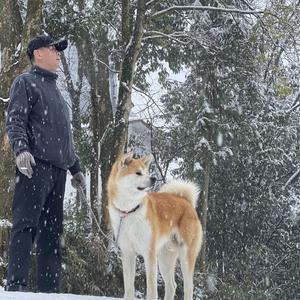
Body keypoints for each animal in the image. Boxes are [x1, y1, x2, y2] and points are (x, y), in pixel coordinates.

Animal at [106, 154, 203, 300]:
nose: (153, 178)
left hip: (186, 256)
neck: (129, 211)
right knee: (172, 286)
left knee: (188, 287)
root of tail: (187, 202)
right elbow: (128, 287)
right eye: (138, 173)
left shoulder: (149, 253)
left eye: (147, 172)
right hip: (164, 258)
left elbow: (151, 289)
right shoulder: (128, 253)